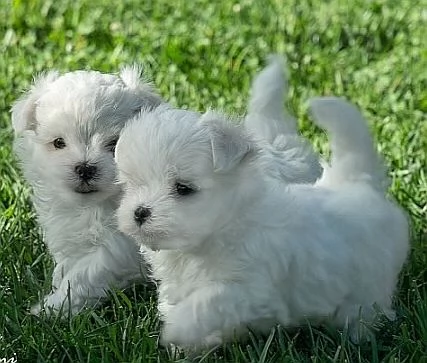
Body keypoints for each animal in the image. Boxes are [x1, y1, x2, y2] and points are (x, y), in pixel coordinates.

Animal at [11, 66, 163, 316]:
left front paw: (52, 308)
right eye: (59, 143)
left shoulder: (119, 250)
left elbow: (83, 277)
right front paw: (57, 284)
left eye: (114, 144)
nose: (85, 168)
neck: (92, 206)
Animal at [115, 96, 410, 350]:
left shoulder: (252, 287)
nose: (140, 212)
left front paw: (176, 330)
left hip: (371, 279)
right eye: (131, 185)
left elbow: (209, 301)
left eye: (183, 188)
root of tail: (356, 182)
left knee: (364, 309)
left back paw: (358, 337)